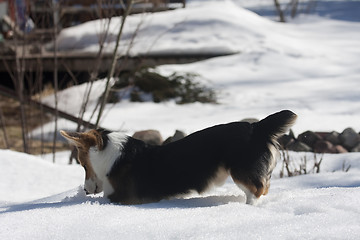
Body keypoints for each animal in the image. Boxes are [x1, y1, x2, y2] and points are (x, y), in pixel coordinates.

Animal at [61, 109, 296, 205]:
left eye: (82, 165)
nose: (85, 191)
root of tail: (257, 127)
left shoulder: (120, 197)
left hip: (240, 171)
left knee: (256, 191)